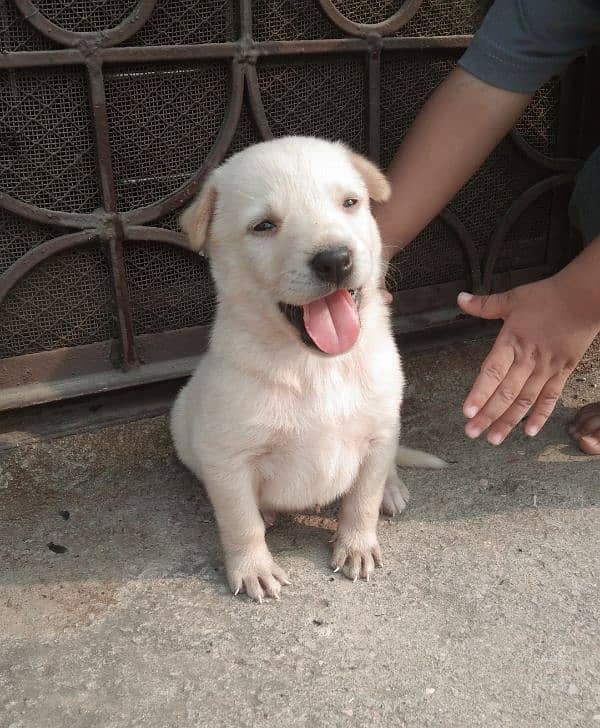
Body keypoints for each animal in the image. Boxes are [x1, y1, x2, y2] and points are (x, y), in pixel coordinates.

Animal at [171, 136, 442, 604]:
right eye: (264, 225)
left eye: (350, 203)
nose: (335, 260)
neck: (316, 367)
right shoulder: (226, 458)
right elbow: (240, 521)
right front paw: (253, 568)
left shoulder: (378, 430)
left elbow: (361, 500)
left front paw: (357, 545)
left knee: (383, 470)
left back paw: (390, 488)